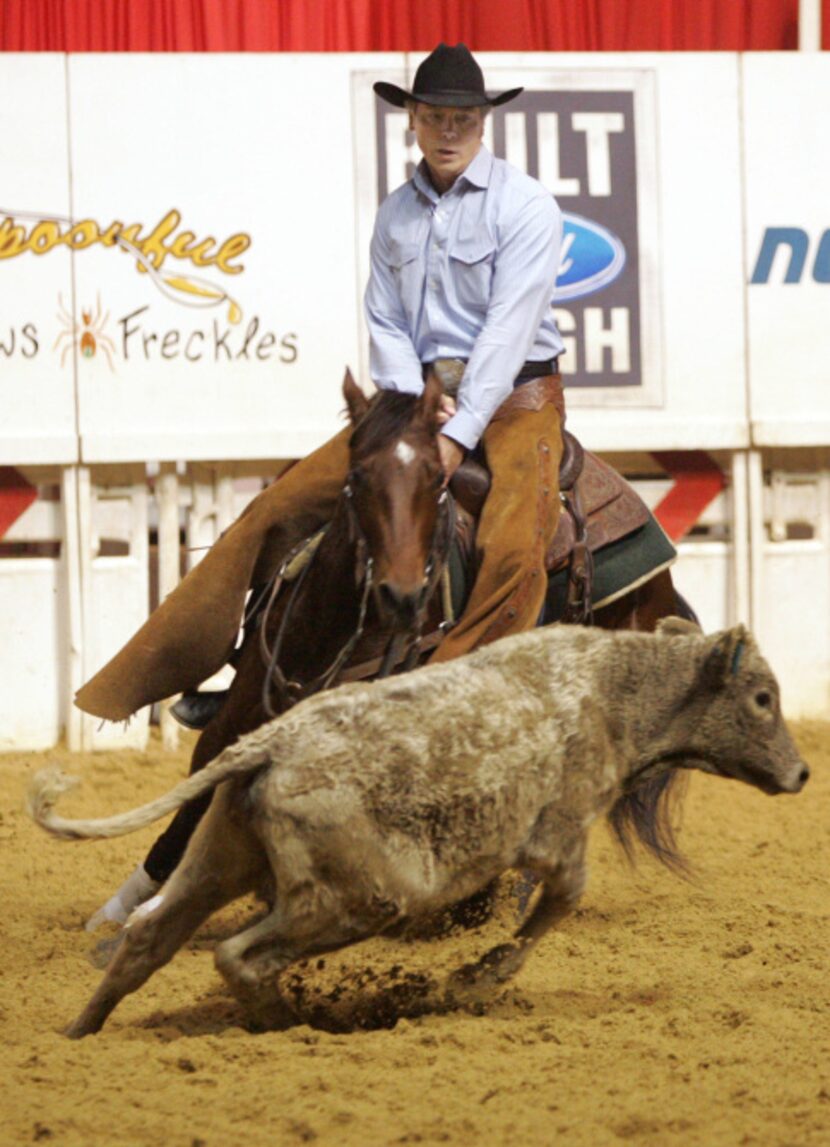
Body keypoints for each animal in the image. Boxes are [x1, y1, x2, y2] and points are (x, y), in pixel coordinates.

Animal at [29, 619, 807, 1041]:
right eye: (762, 697)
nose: (800, 773)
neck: (612, 688)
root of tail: (272, 741)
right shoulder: (559, 834)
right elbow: (558, 903)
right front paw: (477, 977)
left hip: (219, 856)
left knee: (146, 940)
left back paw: (76, 1034)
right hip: (353, 897)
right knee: (237, 954)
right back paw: (290, 1023)